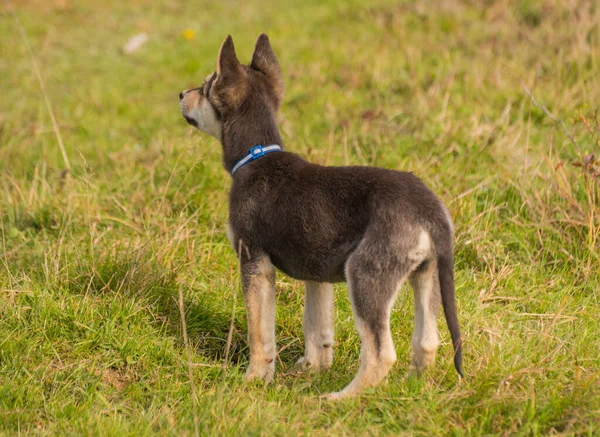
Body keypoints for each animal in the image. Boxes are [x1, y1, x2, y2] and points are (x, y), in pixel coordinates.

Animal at [179, 34, 464, 398]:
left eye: (205, 86)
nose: (181, 95)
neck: (256, 157)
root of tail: (430, 210)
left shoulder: (254, 262)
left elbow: (260, 333)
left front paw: (254, 379)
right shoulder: (317, 273)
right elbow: (317, 328)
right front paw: (312, 370)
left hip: (365, 275)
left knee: (381, 353)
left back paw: (340, 398)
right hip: (427, 276)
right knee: (427, 343)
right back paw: (408, 389)